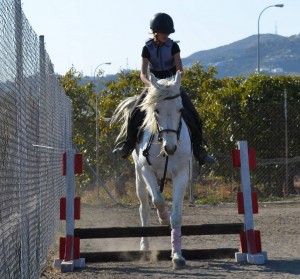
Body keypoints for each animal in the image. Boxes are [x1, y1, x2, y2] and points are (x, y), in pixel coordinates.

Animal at [110, 71, 192, 270]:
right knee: (144, 208)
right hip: (139, 178)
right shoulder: (147, 171)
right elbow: (158, 200)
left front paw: (177, 255)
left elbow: (176, 216)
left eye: (181, 110)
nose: (171, 147)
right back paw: (144, 246)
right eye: (156, 110)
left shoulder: (181, 175)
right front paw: (163, 218)